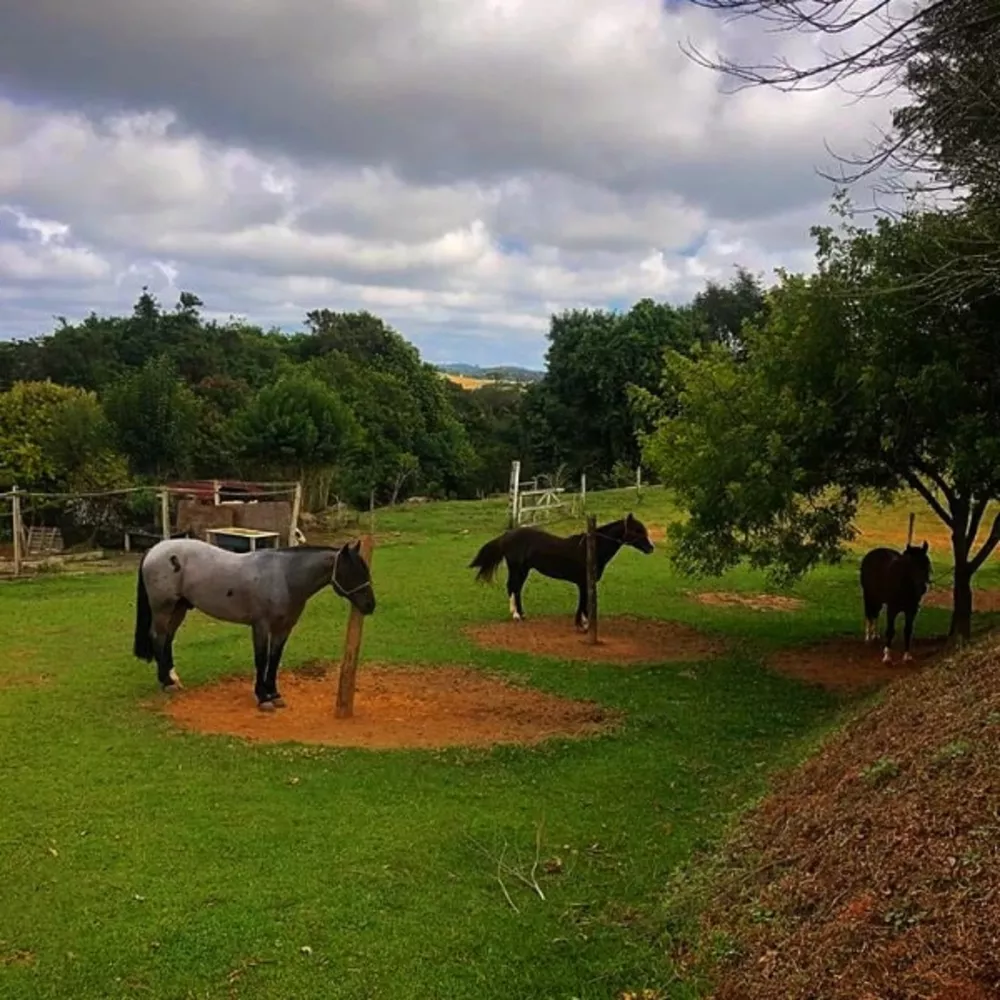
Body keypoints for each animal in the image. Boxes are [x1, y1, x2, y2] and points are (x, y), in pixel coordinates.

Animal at [133, 540, 376, 712]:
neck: (285, 577)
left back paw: (173, 678)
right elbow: (262, 660)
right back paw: (167, 682)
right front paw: (262, 697)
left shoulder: (283, 628)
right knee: (158, 637)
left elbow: (274, 660)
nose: (370, 605)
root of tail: (155, 549)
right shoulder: (261, 626)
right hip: (164, 608)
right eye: (353, 572)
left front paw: (274, 694)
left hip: (179, 608)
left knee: (167, 639)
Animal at [468, 512, 656, 628]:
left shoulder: (584, 583)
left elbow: (583, 602)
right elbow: (583, 603)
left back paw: (521, 614)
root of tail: (507, 535)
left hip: (524, 570)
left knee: (517, 589)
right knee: (512, 588)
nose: (651, 548)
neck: (590, 550)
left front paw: (582, 623)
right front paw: (583, 625)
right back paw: (516, 615)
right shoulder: (583, 582)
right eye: (636, 530)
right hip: (516, 568)